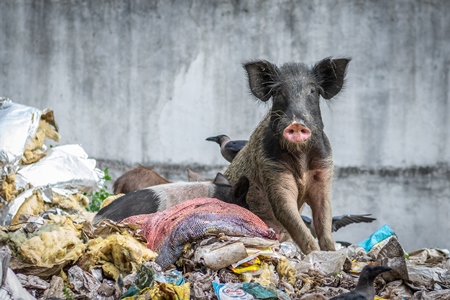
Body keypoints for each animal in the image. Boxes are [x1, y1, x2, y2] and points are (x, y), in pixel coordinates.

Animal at [225, 56, 352, 253]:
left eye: (313, 91)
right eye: (279, 92)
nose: (296, 123)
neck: (301, 159)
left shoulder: (324, 169)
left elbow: (323, 216)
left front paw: (331, 253)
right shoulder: (272, 168)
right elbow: (286, 210)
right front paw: (315, 253)